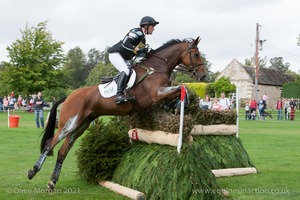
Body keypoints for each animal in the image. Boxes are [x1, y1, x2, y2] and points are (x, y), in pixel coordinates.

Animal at [27, 36, 206, 190]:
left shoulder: (162, 93)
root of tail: (69, 96)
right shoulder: (156, 94)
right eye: (196, 54)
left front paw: (177, 105)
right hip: (70, 123)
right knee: (49, 144)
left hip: (81, 126)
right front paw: (181, 103)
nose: (203, 76)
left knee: (62, 151)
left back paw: (52, 182)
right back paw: (33, 171)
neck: (156, 68)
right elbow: (182, 88)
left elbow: (181, 91)